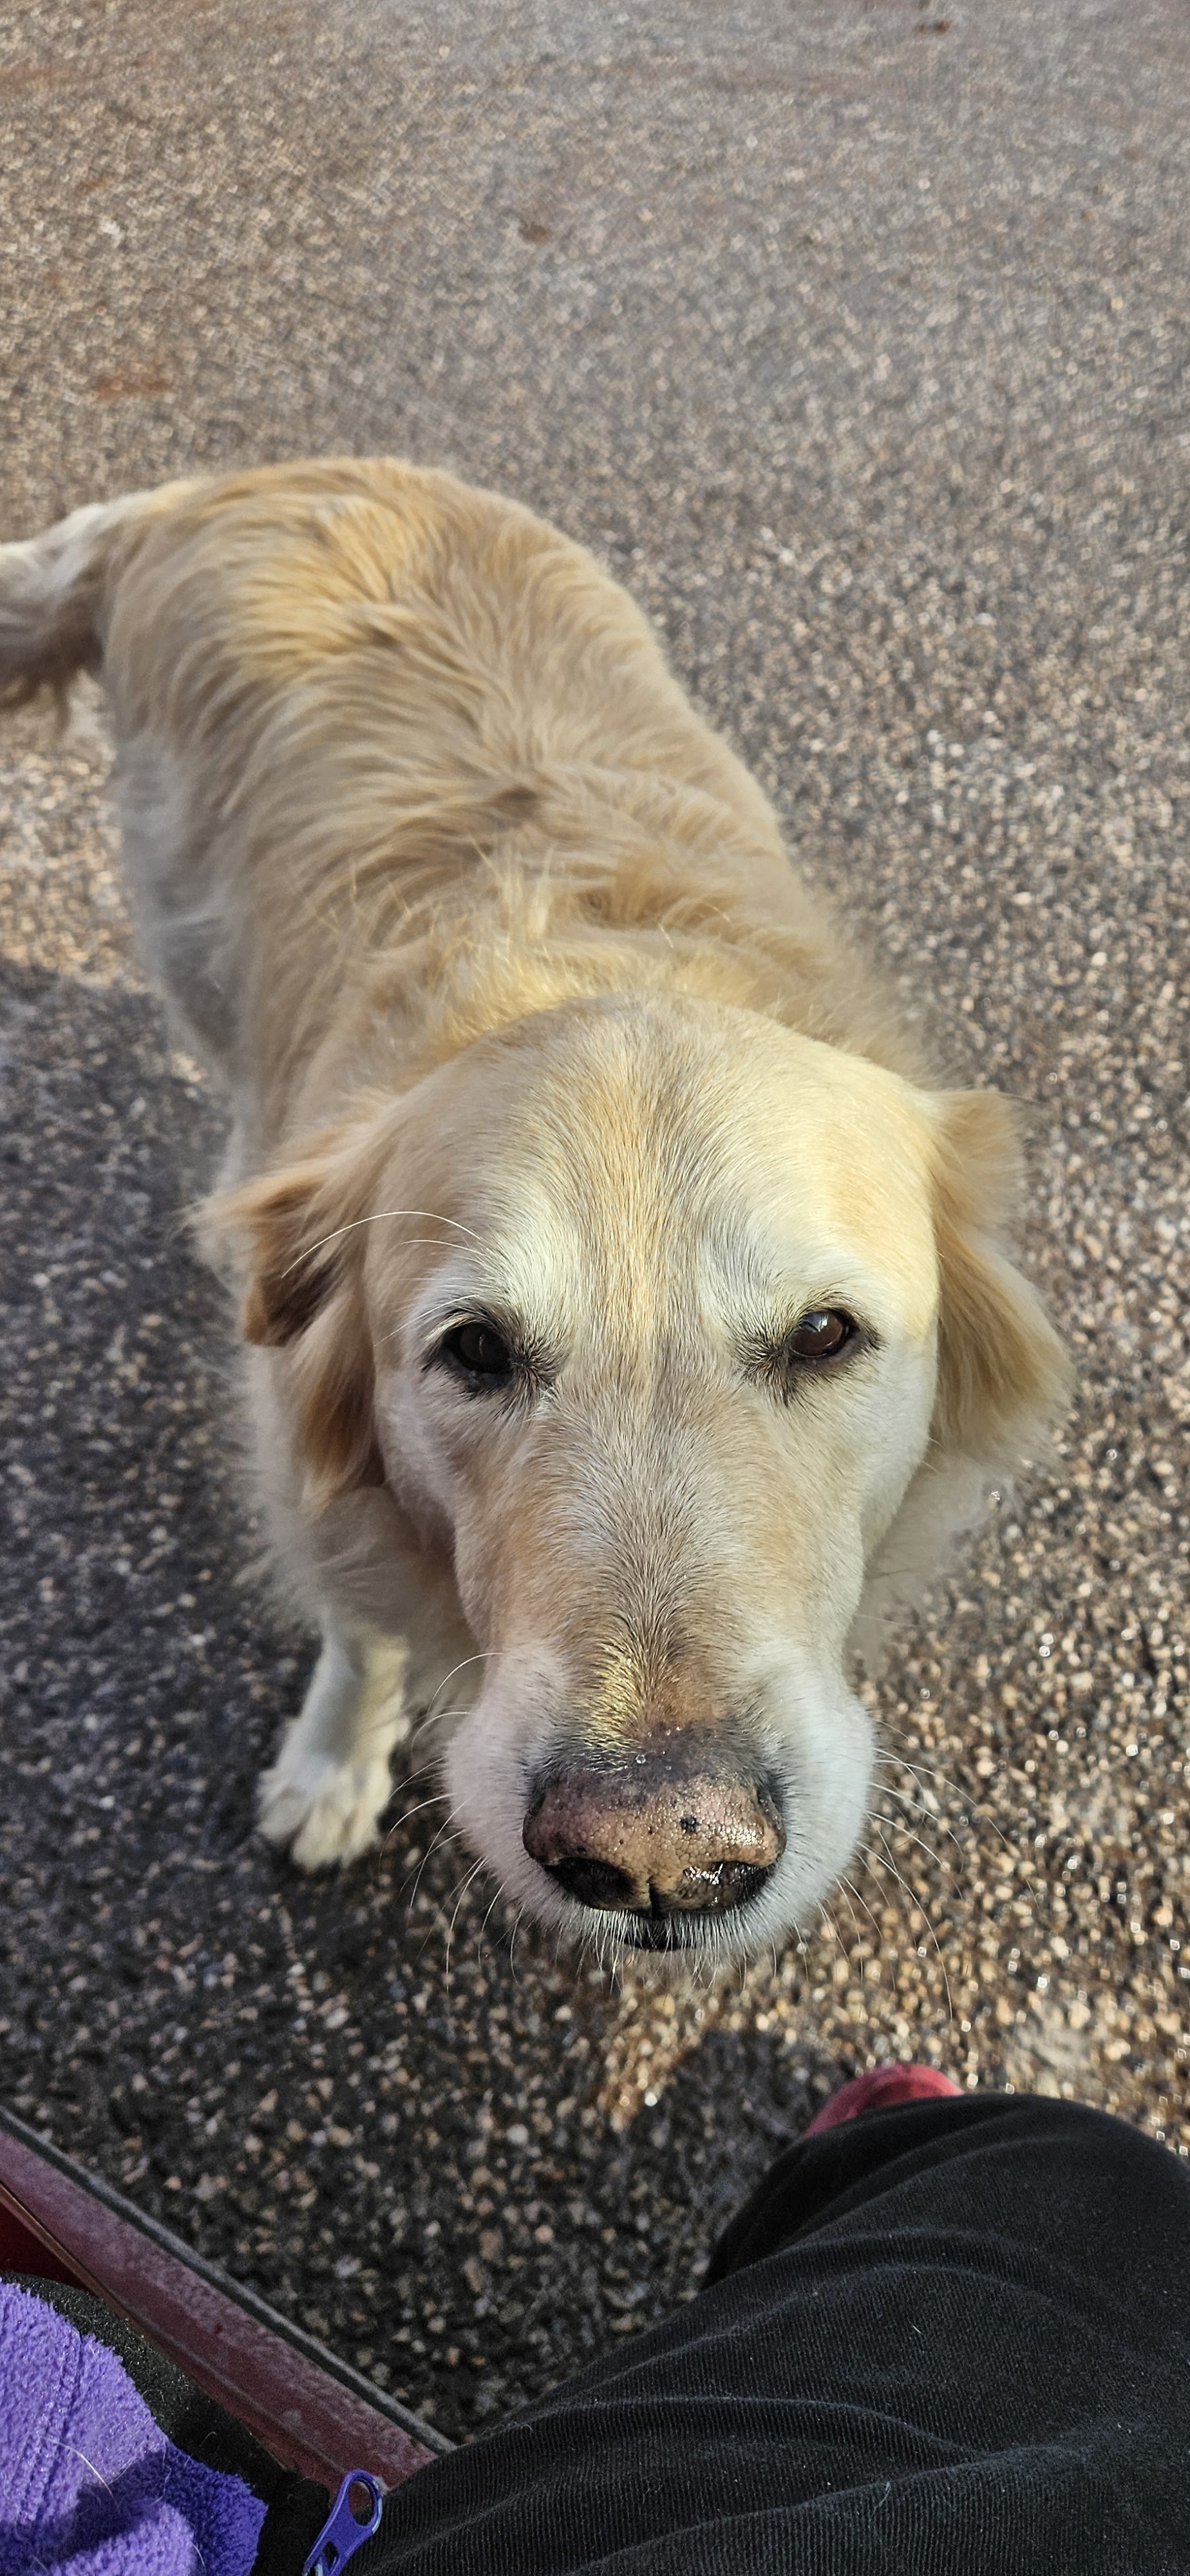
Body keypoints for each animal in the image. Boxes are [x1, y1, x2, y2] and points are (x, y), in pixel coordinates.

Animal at [0, 458, 1069, 1963]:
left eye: (825, 1335)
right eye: (475, 1351)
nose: (662, 1855)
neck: (595, 949)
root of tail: (241, 478)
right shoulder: (321, 1488)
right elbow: (361, 1636)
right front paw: (329, 1767)